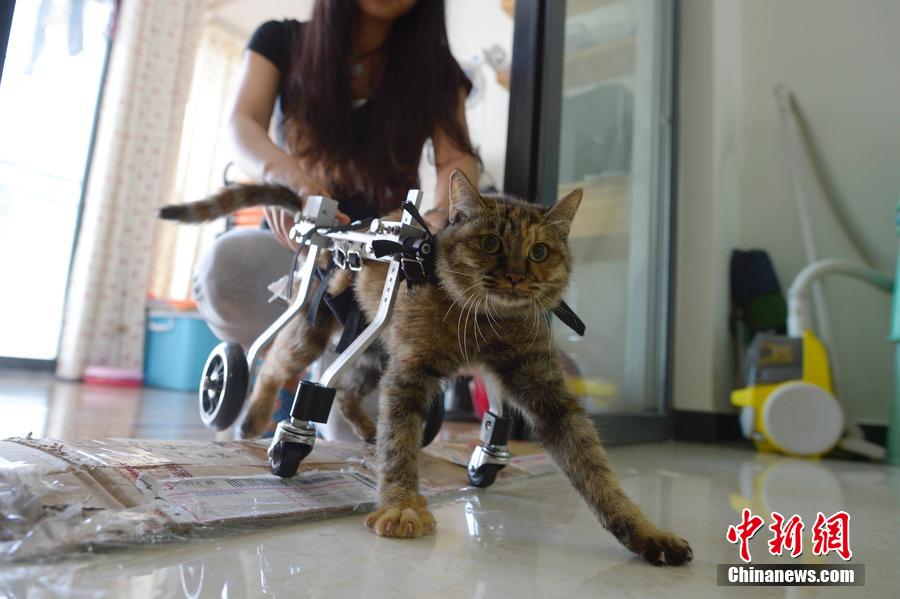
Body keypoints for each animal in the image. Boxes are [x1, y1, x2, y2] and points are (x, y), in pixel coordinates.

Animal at [160, 170, 696, 568]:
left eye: (540, 251)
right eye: (490, 243)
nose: (516, 275)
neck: (486, 323)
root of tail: (337, 226)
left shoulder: (547, 393)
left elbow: (594, 467)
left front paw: (646, 533)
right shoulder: (411, 372)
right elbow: (400, 444)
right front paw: (400, 506)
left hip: (372, 349)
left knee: (348, 390)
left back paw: (365, 432)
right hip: (321, 322)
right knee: (272, 363)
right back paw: (250, 417)